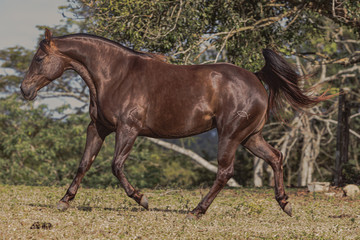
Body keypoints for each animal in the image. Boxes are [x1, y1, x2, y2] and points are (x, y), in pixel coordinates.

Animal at [19, 29, 330, 218]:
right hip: (250, 137)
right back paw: (285, 204)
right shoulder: (98, 128)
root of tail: (255, 77)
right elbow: (84, 163)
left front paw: (142, 199)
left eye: (39, 58)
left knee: (225, 172)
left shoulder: (128, 130)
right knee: (276, 157)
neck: (115, 75)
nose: (25, 90)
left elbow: (116, 166)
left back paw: (197, 210)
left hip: (230, 134)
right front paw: (64, 200)